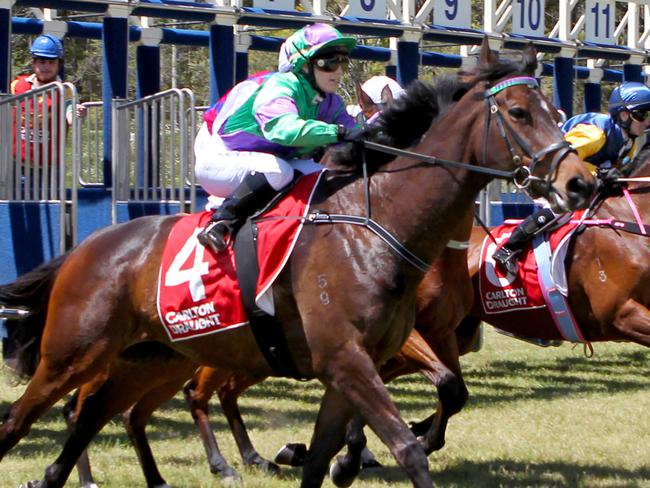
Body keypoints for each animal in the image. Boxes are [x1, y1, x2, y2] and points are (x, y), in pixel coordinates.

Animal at [0, 41, 592, 488]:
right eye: (518, 113)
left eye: (557, 114)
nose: (580, 183)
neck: (375, 223)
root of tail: (87, 246)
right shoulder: (347, 358)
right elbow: (408, 448)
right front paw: (372, 451)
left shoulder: (355, 363)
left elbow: (330, 455)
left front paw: (334, 459)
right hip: (71, 355)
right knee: (22, 421)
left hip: (151, 359)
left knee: (96, 416)